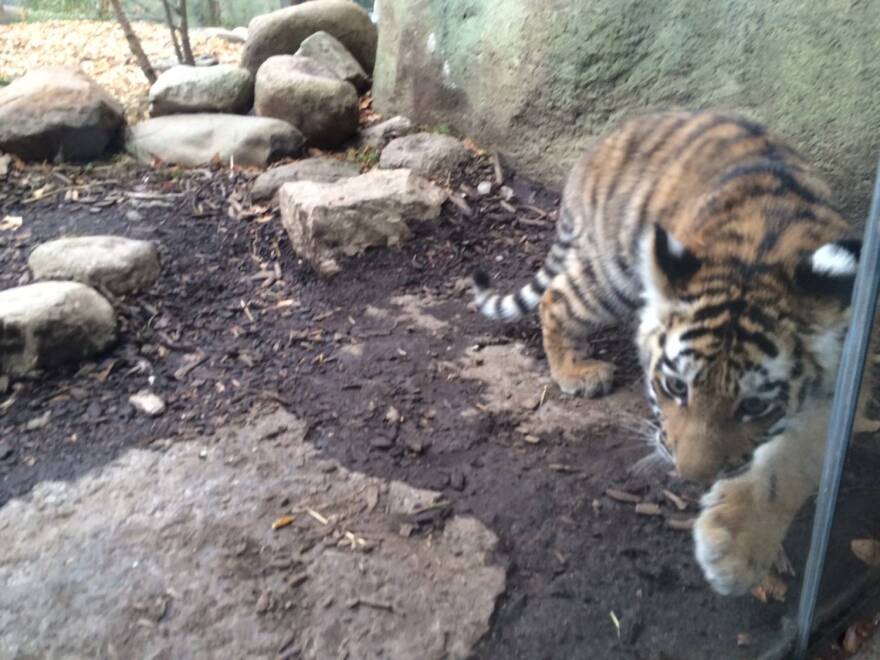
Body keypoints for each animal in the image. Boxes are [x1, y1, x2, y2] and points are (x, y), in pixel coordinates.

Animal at [471, 110, 878, 595]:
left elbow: (796, 461)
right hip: (611, 275)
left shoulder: (845, 380)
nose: (692, 477)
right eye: (675, 387)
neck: (759, 258)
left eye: (755, 406)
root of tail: (610, 138)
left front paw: (737, 548)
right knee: (556, 299)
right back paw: (575, 371)